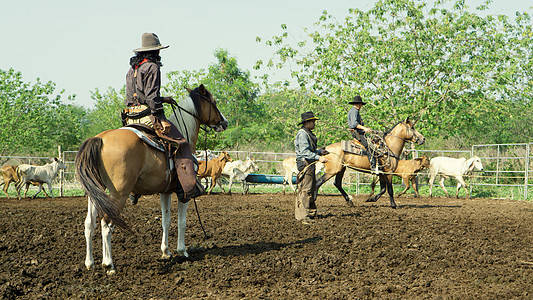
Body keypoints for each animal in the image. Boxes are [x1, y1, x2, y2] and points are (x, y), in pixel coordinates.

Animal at [74, 84, 227, 274]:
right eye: (214, 102)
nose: (224, 122)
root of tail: (99, 139)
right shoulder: (184, 193)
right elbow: (182, 222)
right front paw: (182, 251)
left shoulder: (165, 192)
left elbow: (166, 221)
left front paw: (166, 251)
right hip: (118, 194)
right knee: (107, 224)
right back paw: (109, 264)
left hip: (96, 192)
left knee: (89, 223)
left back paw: (90, 262)